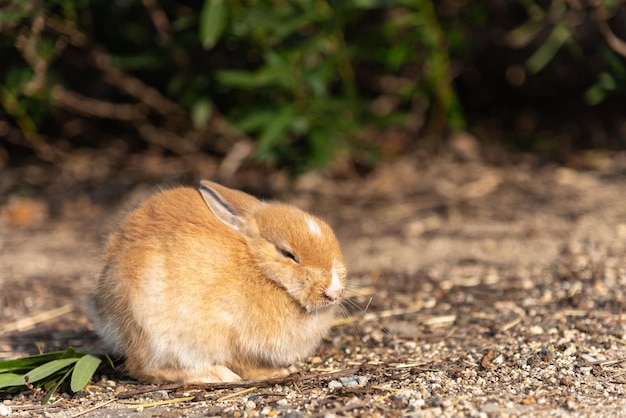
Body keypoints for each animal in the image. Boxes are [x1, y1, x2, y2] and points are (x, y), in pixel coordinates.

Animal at [89, 180, 346, 382]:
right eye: (288, 254)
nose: (334, 292)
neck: (260, 267)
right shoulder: (233, 337)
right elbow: (245, 365)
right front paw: (274, 373)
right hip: (151, 330)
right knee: (141, 368)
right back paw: (214, 375)